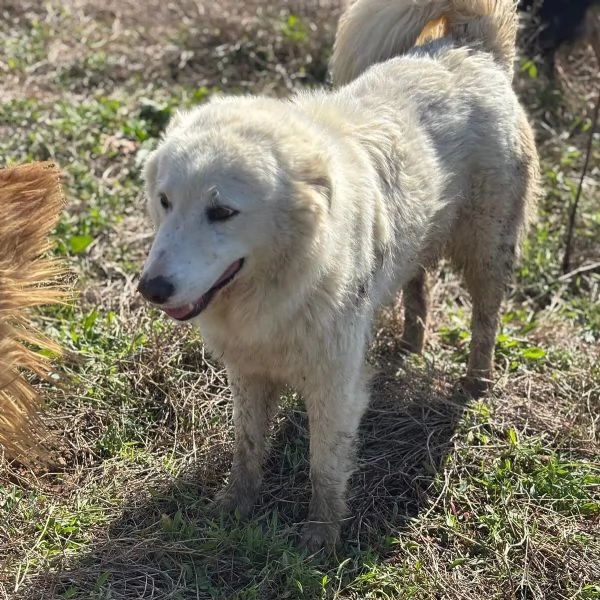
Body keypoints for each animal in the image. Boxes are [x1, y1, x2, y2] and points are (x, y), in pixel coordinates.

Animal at [138, 0, 540, 548]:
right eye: (165, 202)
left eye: (222, 212)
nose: (150, 289)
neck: (285, 278)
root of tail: (470, 44)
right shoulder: (248, 373)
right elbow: (247, 446)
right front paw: (234, 505)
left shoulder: (334, 385)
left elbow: (324, 466)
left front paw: (320, 538)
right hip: (419, 239)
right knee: (417, 286)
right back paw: (410, 344)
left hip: (486, 250)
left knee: (485, 318)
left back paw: (477, 381)